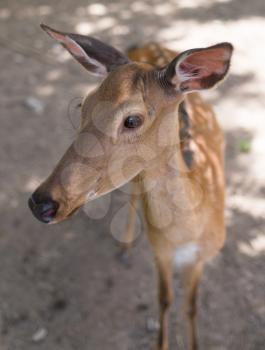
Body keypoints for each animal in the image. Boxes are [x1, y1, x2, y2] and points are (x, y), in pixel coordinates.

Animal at [27, 24, 232, 350]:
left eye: (132, 119)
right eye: (82, 105)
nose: (41, 203)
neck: (187, 234)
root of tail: (147, 44)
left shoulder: (204, 256)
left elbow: (191, 307)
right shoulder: (159, 251)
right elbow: (164, 300)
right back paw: (124, 247)